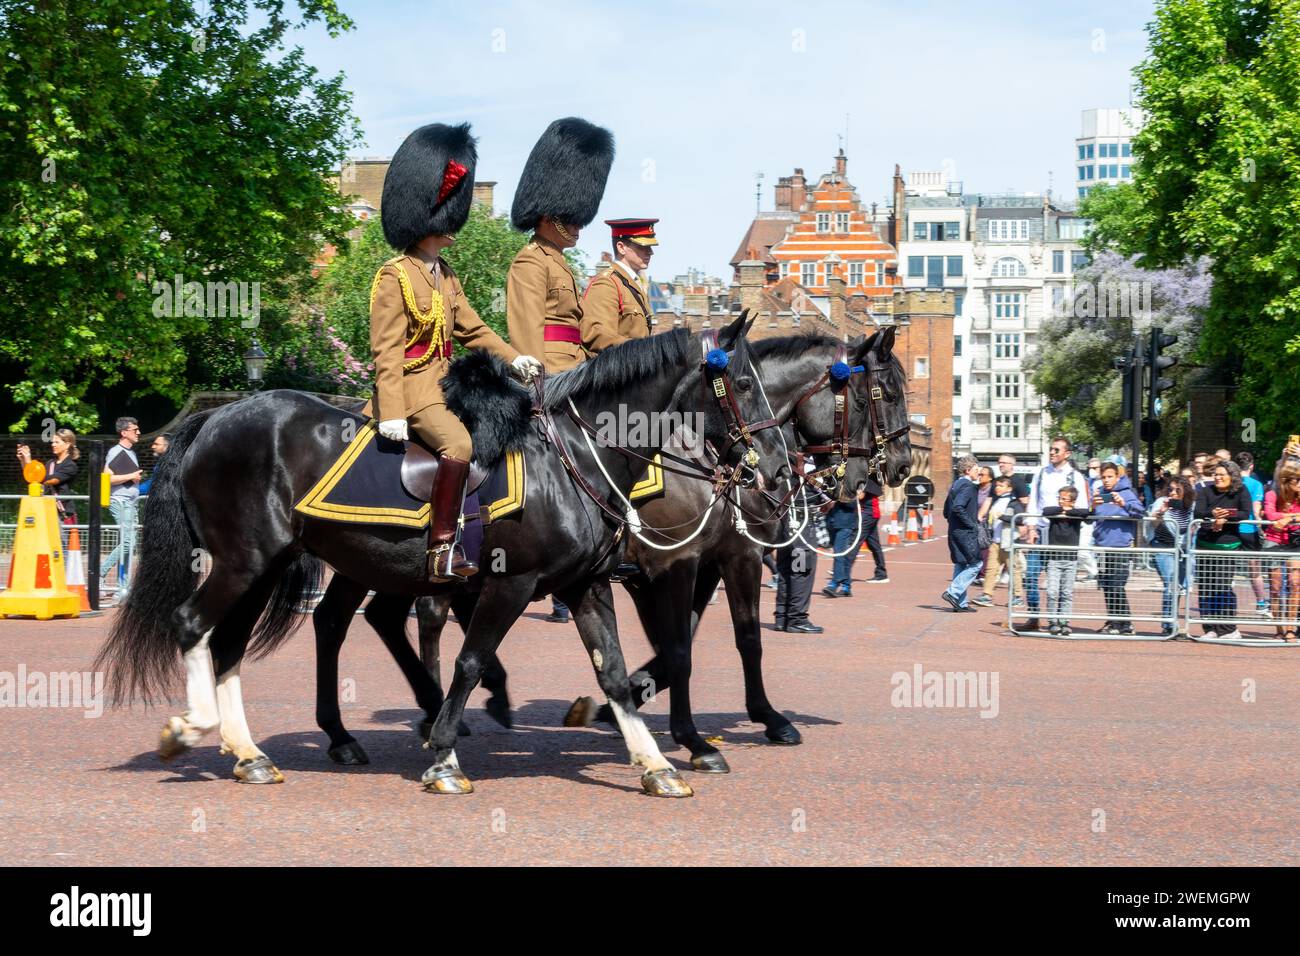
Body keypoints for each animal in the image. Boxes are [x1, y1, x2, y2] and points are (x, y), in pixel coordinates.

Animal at [96, 317, 785, 796]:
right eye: (741, 383)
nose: (776, 471)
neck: (576, 460)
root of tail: (214, 421)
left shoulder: (587, 584)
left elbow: (614, 672)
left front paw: (656, 763)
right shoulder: (517, 583)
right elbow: (473, 660)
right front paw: (446, 756)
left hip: (269, 566)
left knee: (243, 641)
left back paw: (252, 754)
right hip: (243, 561)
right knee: (194, 625)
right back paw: (194, 728)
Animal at [309, 329, 909, 770]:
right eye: (878, 395)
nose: (893, 470)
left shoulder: (694, 565)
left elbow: (681, 644)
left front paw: (631, 701)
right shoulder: (693, 562)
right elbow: (710, 645)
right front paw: (712, 732)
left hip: (375, 560)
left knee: (365, 617)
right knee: (410, 616)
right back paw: (431, 714)